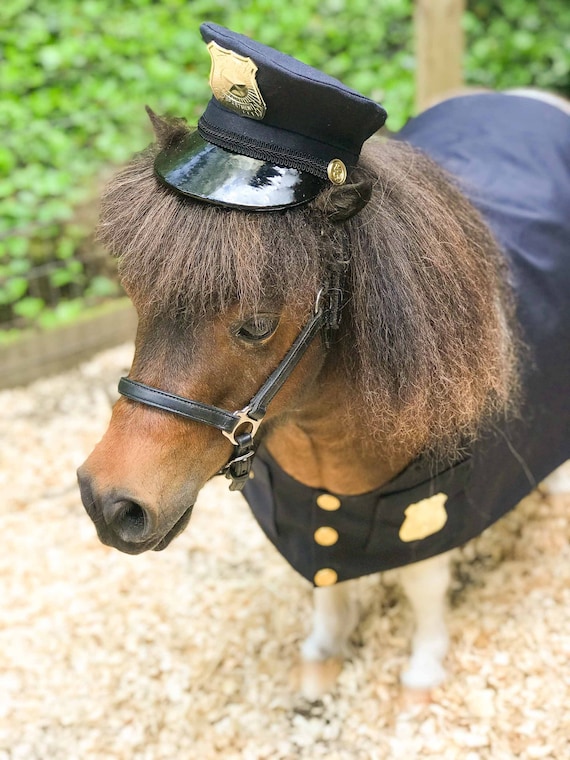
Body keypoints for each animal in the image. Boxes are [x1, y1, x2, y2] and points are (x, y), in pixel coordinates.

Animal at [77, 24, 570, 698]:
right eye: (135, 292)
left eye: (257, 324)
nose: (108, 502)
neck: (327, 445)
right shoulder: (308, 512)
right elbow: (324, 578)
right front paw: (324, 650)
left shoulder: (431, 506)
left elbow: (422, 580)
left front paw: (424, 666)